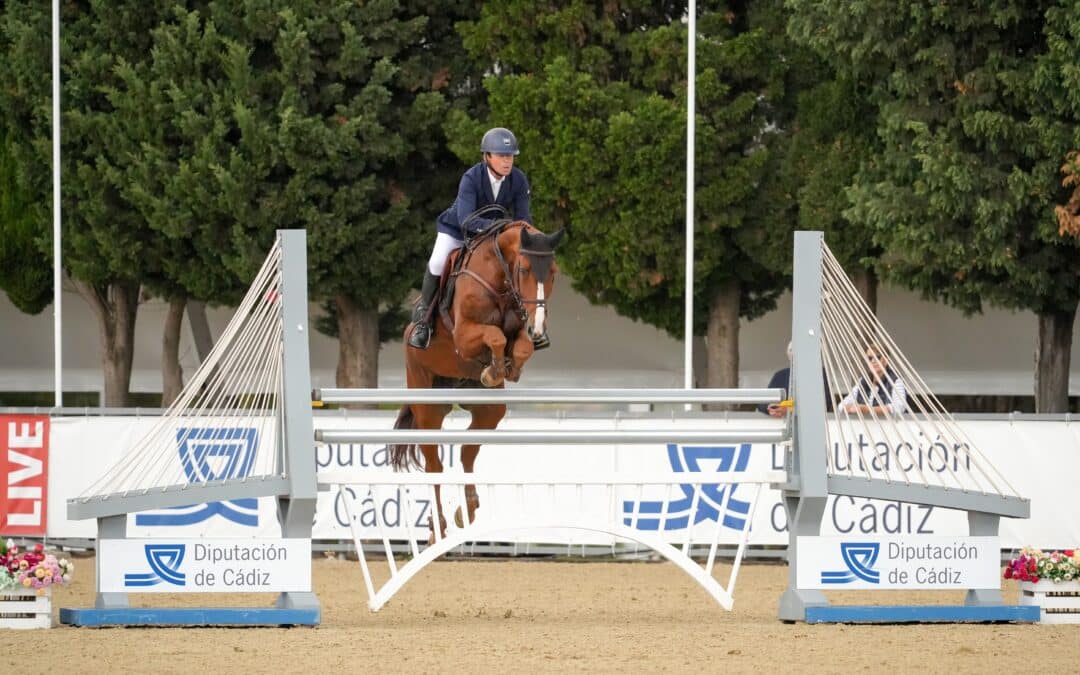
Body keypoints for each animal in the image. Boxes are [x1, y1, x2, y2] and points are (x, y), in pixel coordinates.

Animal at [393, 223, 570, 540]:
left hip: (487, 409)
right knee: (435, 464)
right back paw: (438, 527)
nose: (538, 328)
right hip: (427, 406)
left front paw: (505, 369)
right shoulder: (464, 335)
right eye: (524, 269)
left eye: (553, 272)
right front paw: (495, 368)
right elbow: (494, 335)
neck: (501, 279)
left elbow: (521, 346)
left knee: (467, 452)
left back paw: (467, 509)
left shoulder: (522, 328)